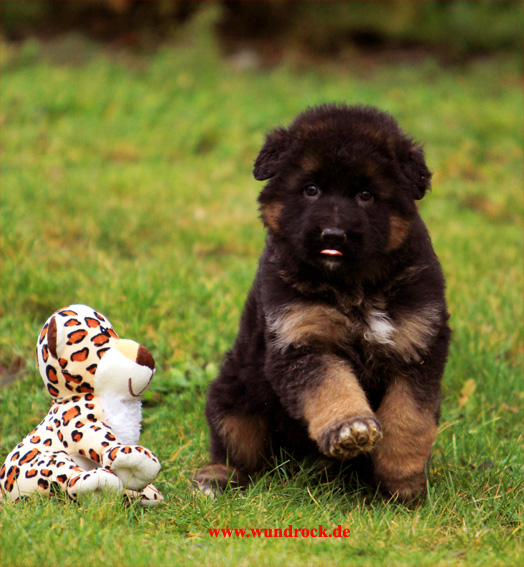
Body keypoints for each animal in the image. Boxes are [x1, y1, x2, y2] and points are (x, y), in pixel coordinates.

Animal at [194, 104, 451, 502]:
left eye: (366, 195)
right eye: (311, 190)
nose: (333, 235)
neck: (355, 286)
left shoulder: (418, 347)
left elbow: (409, 419)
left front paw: (402, 486)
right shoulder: (302, 343)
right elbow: (331, 385)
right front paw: (350, 429)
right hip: (233, 393)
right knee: (236, 447)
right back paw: (218, 478)